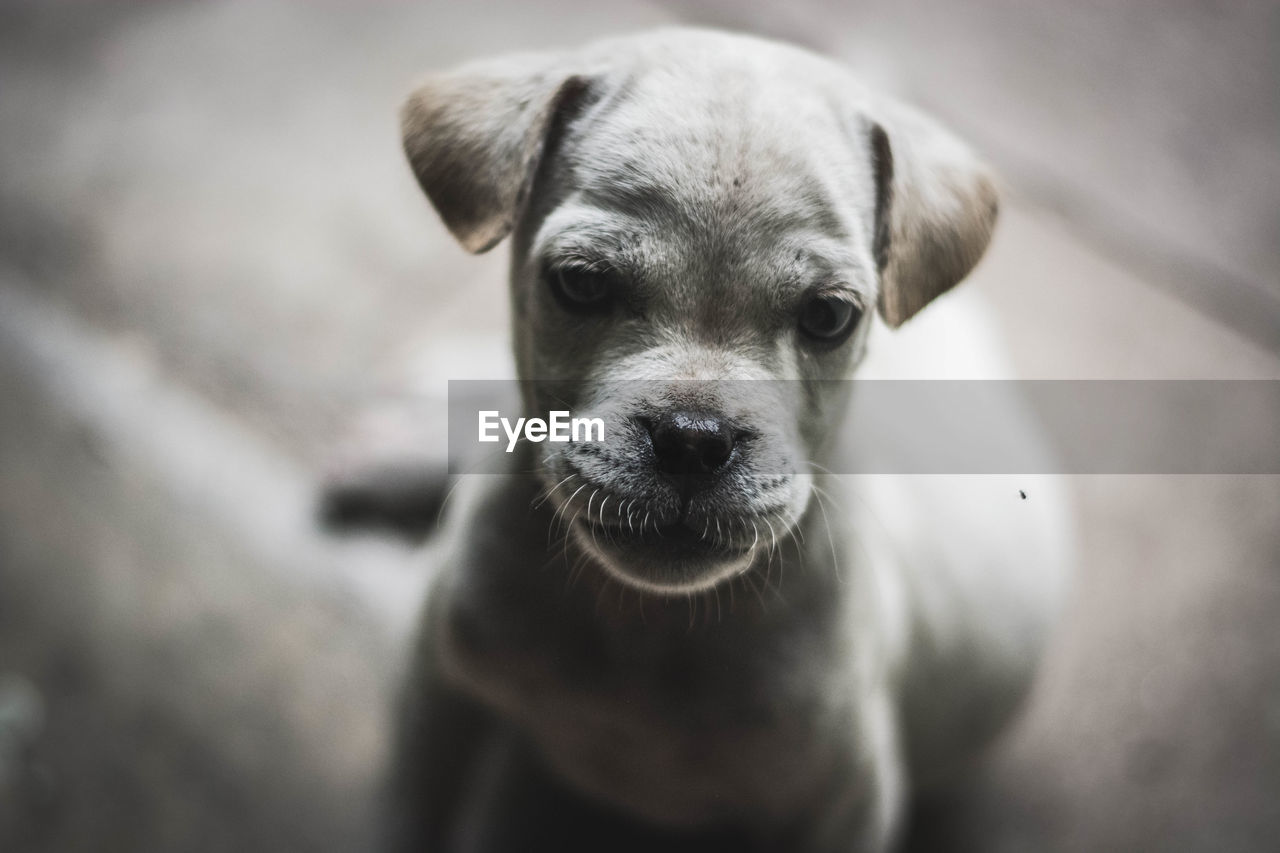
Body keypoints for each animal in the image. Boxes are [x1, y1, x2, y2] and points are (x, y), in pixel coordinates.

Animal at [389, 26, 1070, 850]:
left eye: (830, 316)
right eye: (580, 283)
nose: (692, 439)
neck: (642, 624)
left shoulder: (845, 803)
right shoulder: (435, 692)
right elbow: (411, 813)